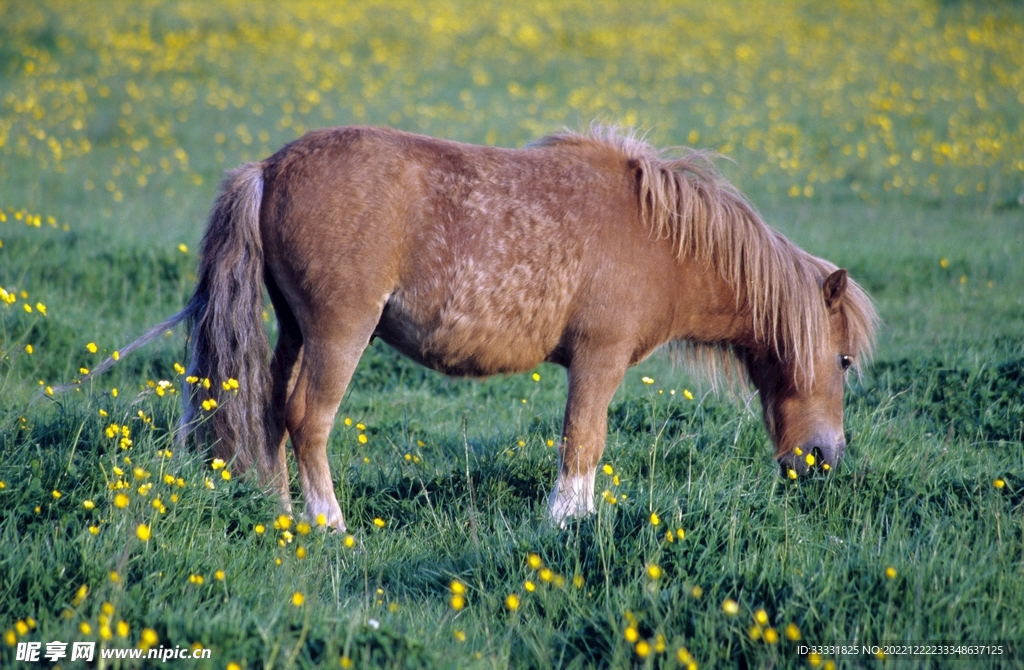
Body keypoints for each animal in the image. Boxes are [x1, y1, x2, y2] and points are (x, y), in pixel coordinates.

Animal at [82, 125, 878, 530]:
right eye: (841, 361)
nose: (824, 459)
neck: (663, 236)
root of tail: (270, 168)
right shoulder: (599, 360)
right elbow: (582, 443)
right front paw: (566, 525)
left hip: (293, 332)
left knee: (271, 414)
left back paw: (284, 515)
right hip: (339, 333)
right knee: (309, 420)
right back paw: (330, 525)